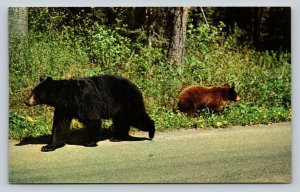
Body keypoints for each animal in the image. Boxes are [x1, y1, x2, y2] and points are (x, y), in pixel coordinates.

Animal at [25, 74, 155, 152]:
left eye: (34, 93)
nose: (26, 101)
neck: (66, 96)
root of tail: (136, 86)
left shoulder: (83, 100)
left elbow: (92, 119)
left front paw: (89, 142)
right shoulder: (64, 108)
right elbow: (60, 126)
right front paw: (48, 146)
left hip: (128, 102)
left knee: (137, 117)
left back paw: (151, 133)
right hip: (120, 109)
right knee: (121, 121)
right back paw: (117, 137)